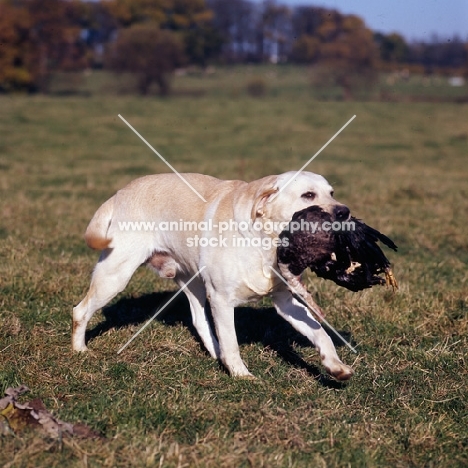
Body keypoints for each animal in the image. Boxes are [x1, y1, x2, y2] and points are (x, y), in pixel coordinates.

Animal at [71, 172, 352, 380]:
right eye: (308, 195)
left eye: (331, 193)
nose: (344, 211)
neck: (264, 243)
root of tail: (119, 194)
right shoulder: (221, 299)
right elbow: (232, 342)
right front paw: (241, 376)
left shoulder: (286, 301)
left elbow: (321, 333)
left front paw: (335, 365)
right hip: (115, 275)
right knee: (79, 311)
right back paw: (79, 349)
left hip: (192, 281)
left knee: (198, 320)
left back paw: (216, 355)